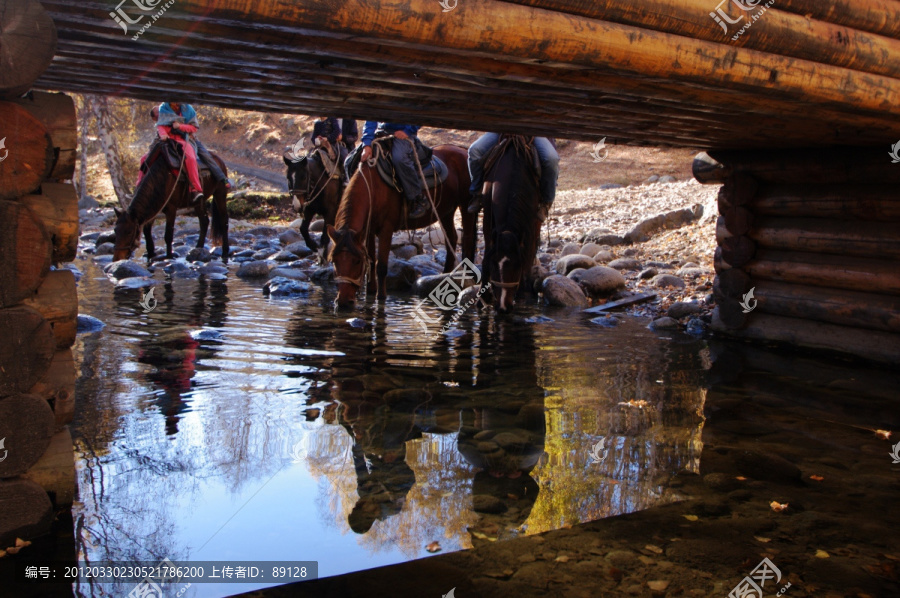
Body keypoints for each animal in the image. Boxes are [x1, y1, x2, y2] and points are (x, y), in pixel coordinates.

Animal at [326, 141, 478, 310]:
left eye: (357, 261)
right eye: (334, 261)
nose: (343, 302)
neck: (374, 188)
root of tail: (463, 151)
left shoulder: (386, 229)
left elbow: (381, 266)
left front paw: (381, 298)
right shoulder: (369, 230)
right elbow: (371, 261)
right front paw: (370, 293)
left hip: (465, 206)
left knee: (467, 241)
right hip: (446, 211)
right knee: (451, 238)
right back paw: (444, 276)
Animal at [482, 137, 544, 314]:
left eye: (518, 265)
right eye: (494, 264)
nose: (503, 306)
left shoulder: (530, 223)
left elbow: (528, 253)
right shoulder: (487, 218)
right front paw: (484, 296)